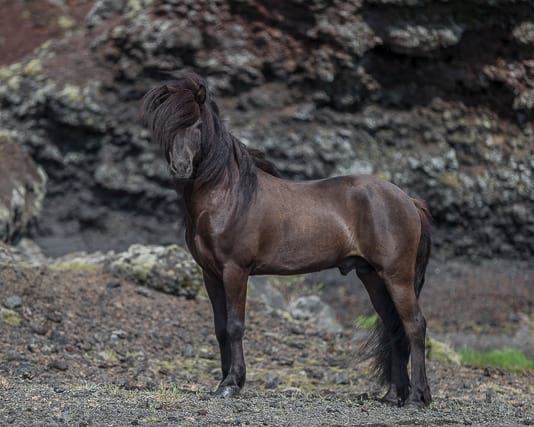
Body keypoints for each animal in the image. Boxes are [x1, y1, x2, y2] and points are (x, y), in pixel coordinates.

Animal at [143, 71, 436, 408]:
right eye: (167, 127)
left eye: (197, 125)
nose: (181, 168)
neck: (227, 197)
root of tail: (408, 200)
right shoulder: (211, 274)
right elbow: (219, 328)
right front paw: (222, 381)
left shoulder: (235, 270)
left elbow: (235, 326)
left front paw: (232, 384)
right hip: (372, 276)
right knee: (394, 327)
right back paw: (393, 396)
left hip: (397, 276)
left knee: (414, 326)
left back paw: (416, 398)